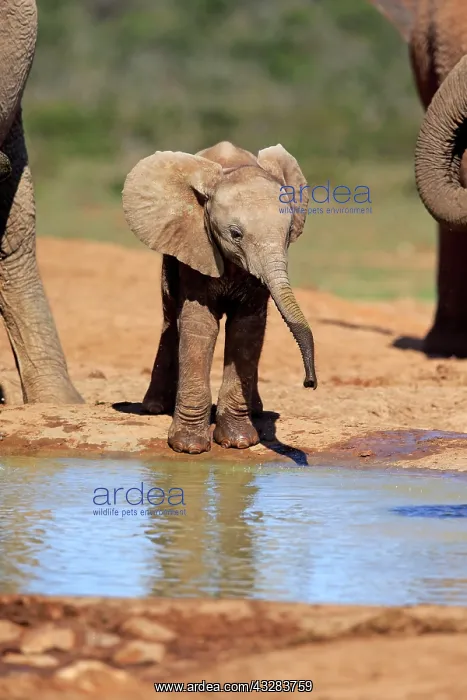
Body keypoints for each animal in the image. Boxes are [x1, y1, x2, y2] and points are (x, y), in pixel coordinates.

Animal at [122, 141, 317, 454]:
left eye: (288, 233)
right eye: (235, 234)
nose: (309, 382)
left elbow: (246, 329)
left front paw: (239, 442)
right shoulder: (197, 243)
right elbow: (200, 324)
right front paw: (188, 447)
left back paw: (256, 409)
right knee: (170, 316)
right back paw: (154, 407)